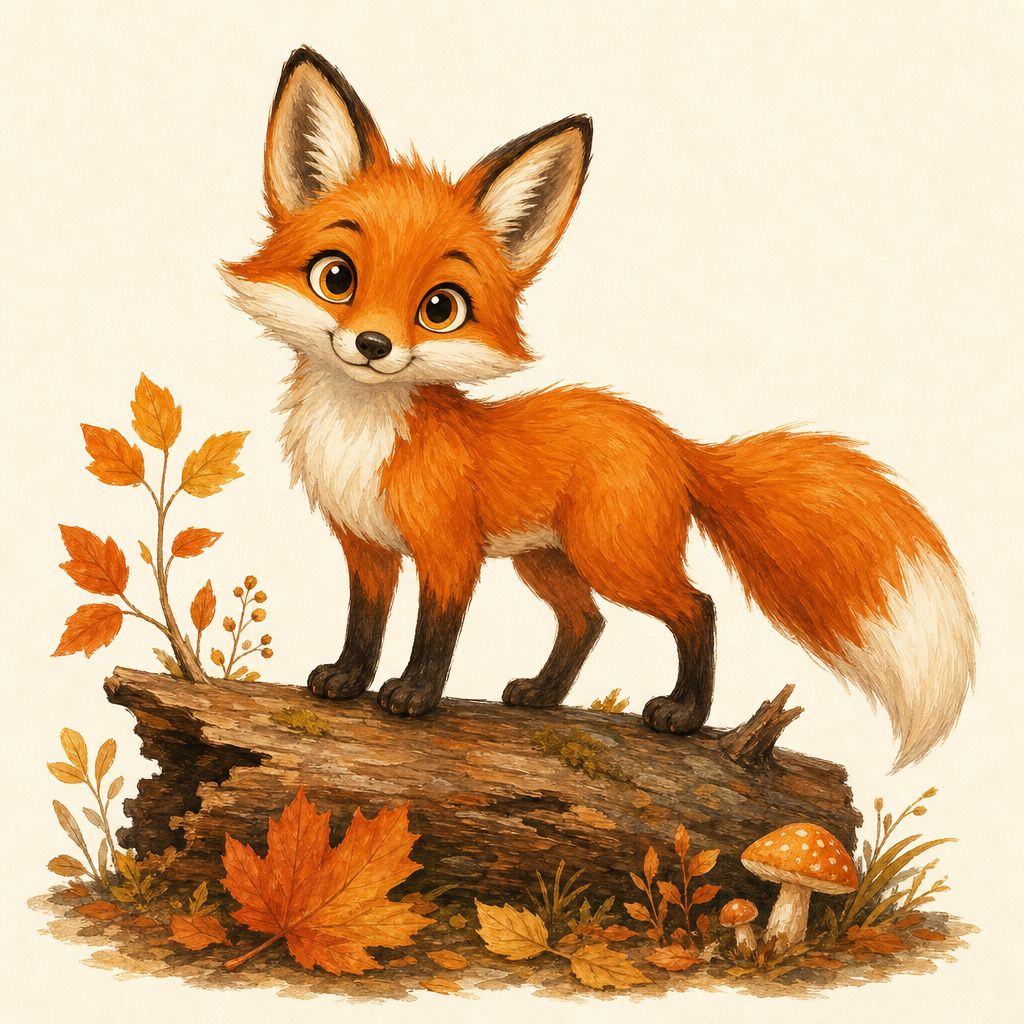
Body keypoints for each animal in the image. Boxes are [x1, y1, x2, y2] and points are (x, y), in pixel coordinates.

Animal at [222, 46, 977, 770]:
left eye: (440, 308)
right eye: (336, 277)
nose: (373, 346)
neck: (363, 433)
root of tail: (674, 441)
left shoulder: (449, 550)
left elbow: (435, 635)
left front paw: (414, 695)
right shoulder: (368, 548)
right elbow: (364, 624)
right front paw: (348, 680)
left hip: (614, 556)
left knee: (698, 607)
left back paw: (684, 714)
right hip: (549, 560)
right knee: (588, 621)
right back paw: (543, 695)